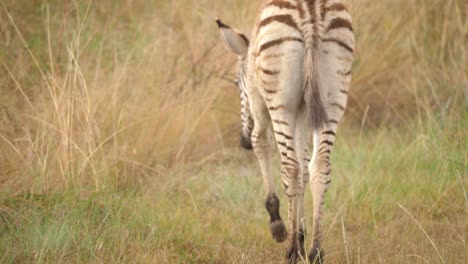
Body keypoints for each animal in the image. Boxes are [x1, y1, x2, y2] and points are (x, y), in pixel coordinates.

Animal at [218, 1, 352, 262]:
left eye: (238, 85)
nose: (242, 142)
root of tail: (311, 15)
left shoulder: (258, 101)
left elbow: (262, 142)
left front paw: (279, 224)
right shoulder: (302, 113)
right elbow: (305, 166)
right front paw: (300, 232)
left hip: (280, 102)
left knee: (290, 167)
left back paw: (291, 251)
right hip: (334, 96)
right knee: (319, 165)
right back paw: (315, 251)